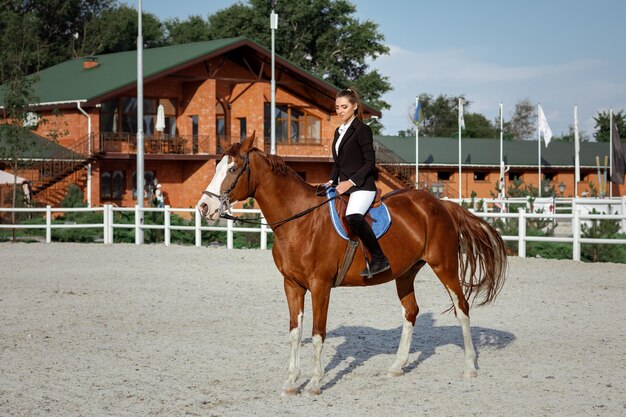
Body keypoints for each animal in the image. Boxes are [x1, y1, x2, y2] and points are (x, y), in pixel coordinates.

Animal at [197, 135, 504, 394]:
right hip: (405, 273)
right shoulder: (292, 285)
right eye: (217, 167)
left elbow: (318, 334)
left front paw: (315, 383)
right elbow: (295, 334)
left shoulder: (320, 286)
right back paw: (396, 367)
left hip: (444, 266)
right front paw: (292, 382)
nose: (203, 207)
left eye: (233, 169)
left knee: (462, 308)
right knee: (411, 312)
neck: (299, 221)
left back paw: (469, 367)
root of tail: (441, 204)